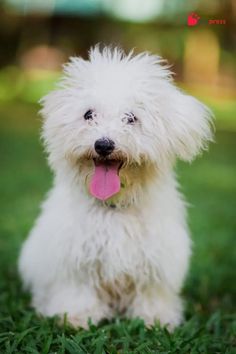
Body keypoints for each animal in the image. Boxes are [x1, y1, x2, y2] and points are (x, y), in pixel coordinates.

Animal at [18, 45, 213, 330]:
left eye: (131, 118)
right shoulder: (75, 258)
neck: (114, 206)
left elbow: (151, 291)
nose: (103, 145)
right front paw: (75, 316)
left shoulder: (156, 258)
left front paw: (155, 318)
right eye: (89, 114)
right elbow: (77, 290)